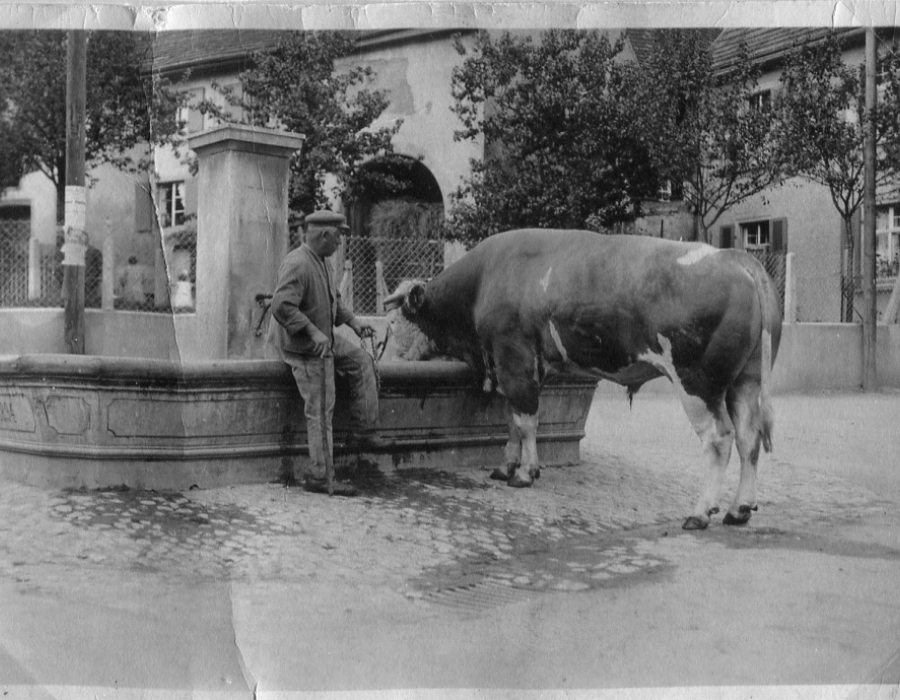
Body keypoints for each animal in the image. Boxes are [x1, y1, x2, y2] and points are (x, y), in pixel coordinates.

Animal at [380, 230, 780, 532]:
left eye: (396, 322)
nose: (390, 361)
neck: (484, 279)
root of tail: (732, 258)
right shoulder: (517, 368)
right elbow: (512, 420)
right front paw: (506, 466)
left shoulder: (515, 359)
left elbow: (526, 421)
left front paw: (525, 472)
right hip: (745, 383)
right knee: (748, 438)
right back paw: (739, 508)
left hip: (698, 385)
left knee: (719, 439)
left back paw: (700, 511)